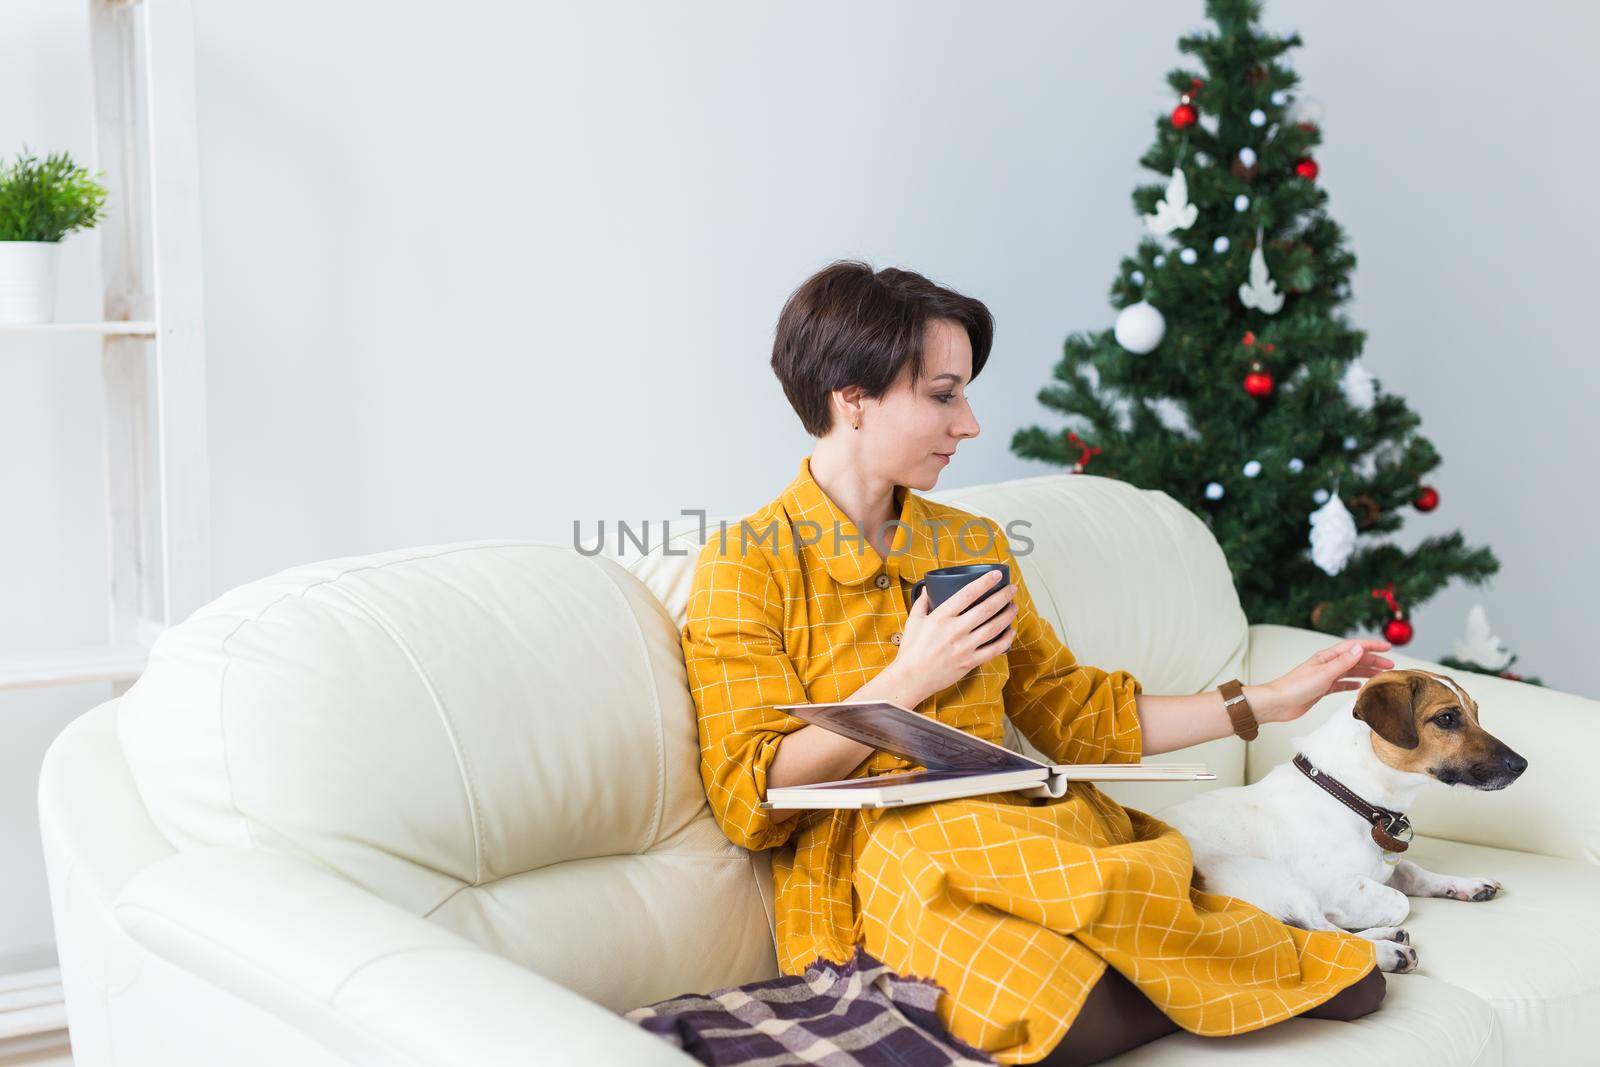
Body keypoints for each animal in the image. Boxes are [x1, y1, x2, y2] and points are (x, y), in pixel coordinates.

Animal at [1152, 671, 1523, 972]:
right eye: (1446, 718)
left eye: (1476, 713)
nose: (1522, 765)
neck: (1351, 795)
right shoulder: (1331, 886)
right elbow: (1398, 901)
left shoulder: (1384, 867)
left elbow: (1413, 872)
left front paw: (1465, 885)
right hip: (1278, 882)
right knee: (1317, 934)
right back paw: (1386, 950)